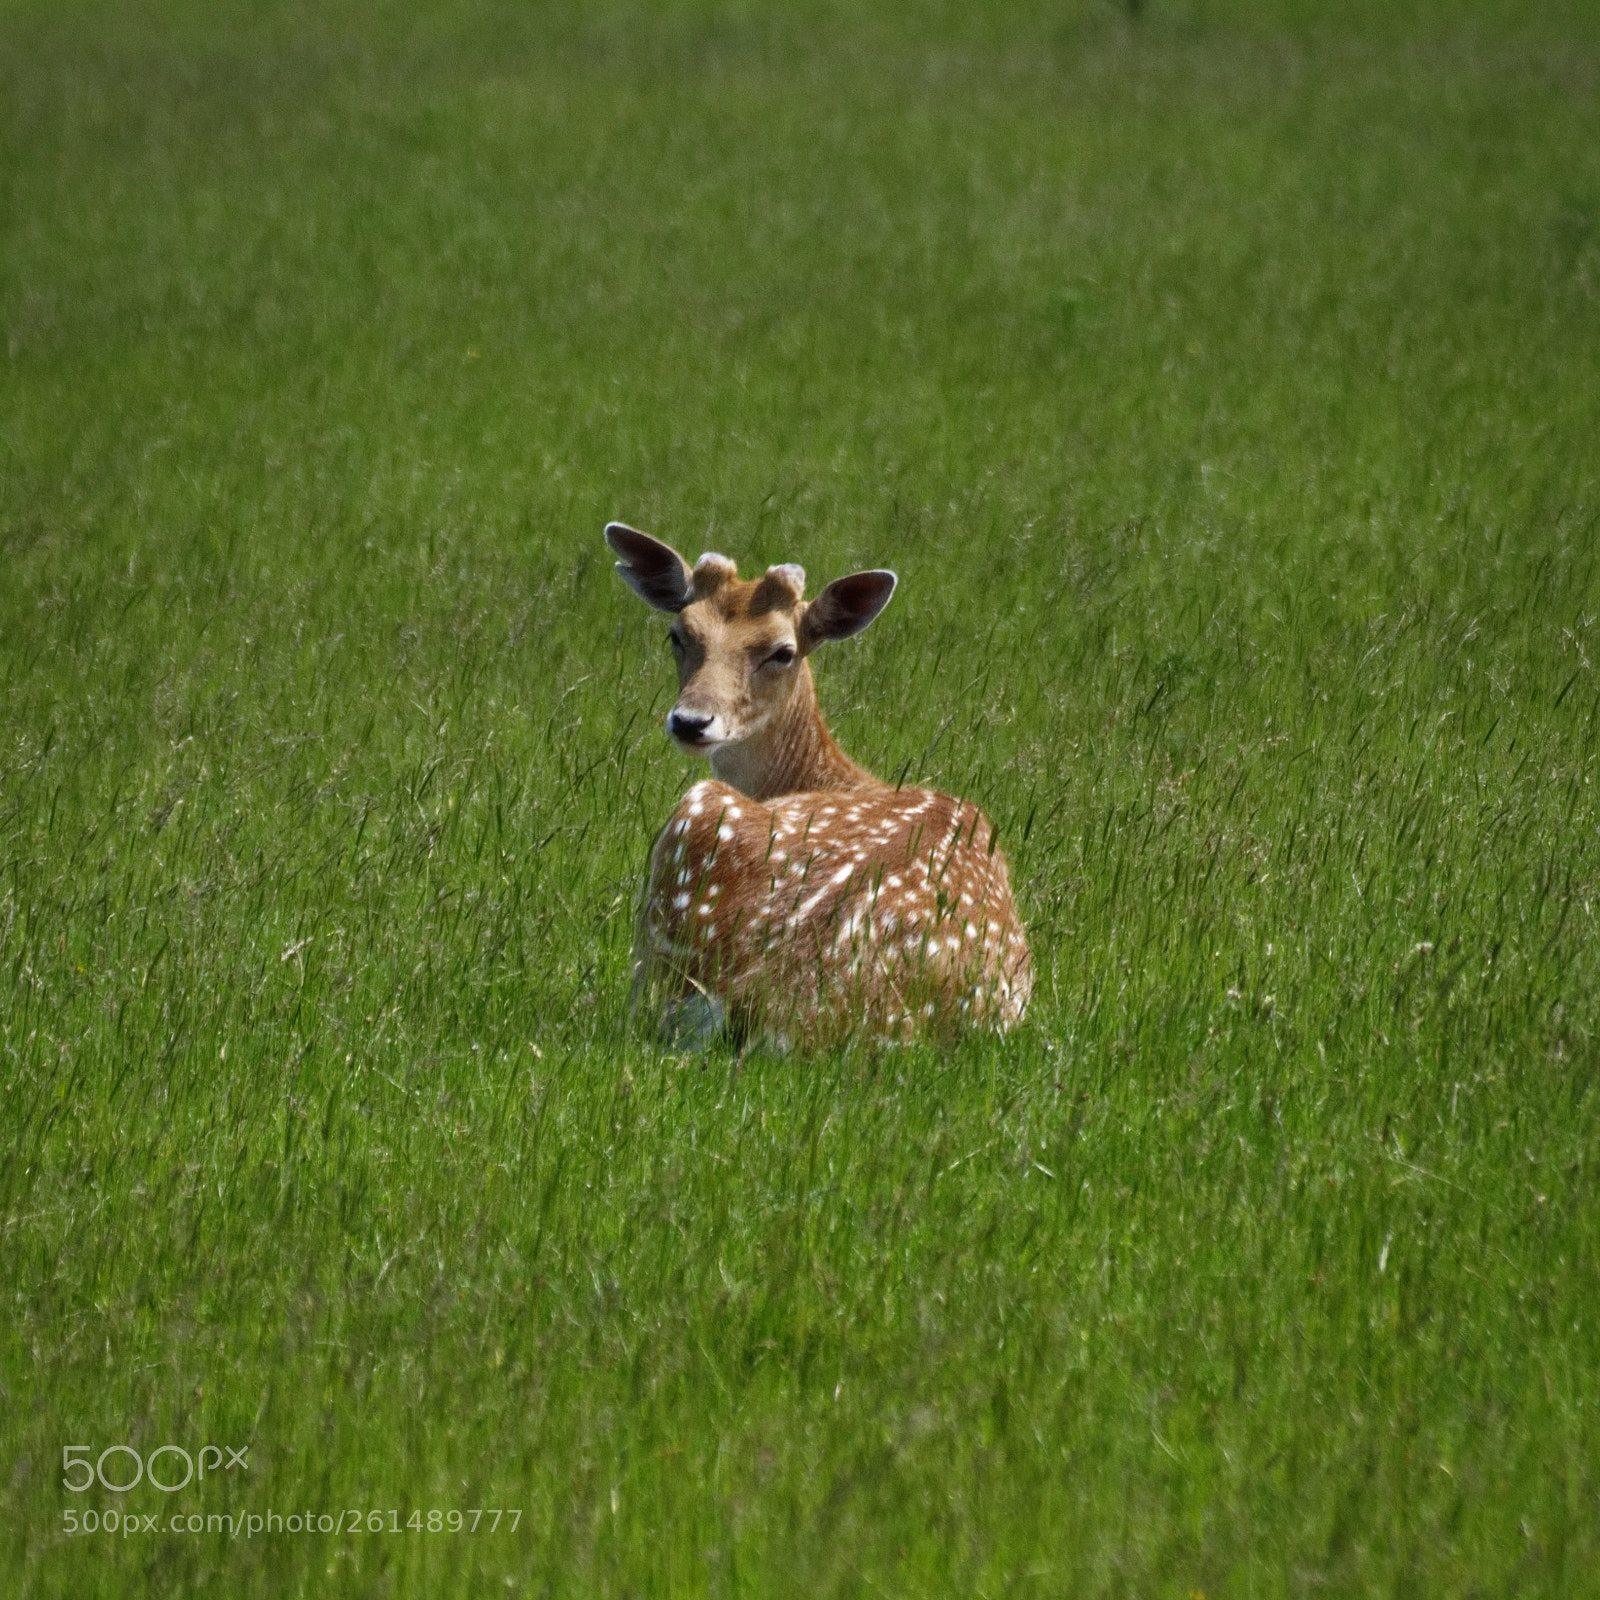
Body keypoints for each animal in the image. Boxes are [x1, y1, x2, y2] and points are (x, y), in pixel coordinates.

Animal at [608, 521, 1031, 1049]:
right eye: (678, 634)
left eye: (782, 652)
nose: (690, 721)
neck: (841, 777)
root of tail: (754, 989)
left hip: (692, 820)